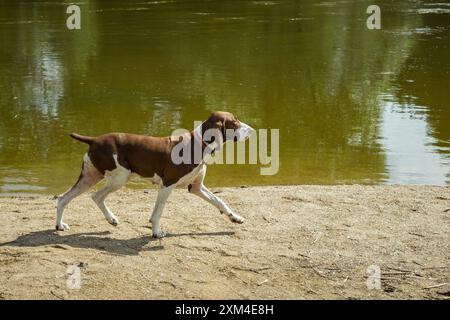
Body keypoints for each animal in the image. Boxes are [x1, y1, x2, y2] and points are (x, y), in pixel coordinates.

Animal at [54, 111, 255, 236]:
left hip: (90, 177)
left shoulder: (196, 187)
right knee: (96, 196)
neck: (197, 144)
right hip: (120, 177)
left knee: (63, 198)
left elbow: (219, 201)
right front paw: (156, 233)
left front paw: (235, 217)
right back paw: (111, 219)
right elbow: (159, 211)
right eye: (235, 122)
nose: (253, 130)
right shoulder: (167, 184)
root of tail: (94, 139)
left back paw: (60, 225)